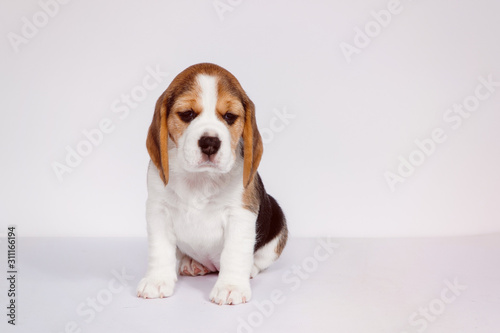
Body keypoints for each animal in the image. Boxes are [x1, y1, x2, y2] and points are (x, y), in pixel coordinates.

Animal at [136, 62, 290, 304]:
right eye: (187, 114)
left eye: (229, 117)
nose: (210, 142)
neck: (201, 178)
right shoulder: (158, 210)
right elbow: (160, 250)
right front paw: (156, 280)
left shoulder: (240, 214)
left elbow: (234, 252)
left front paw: (231, 287)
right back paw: (192, 263)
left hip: (278, 224)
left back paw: (249, 269)